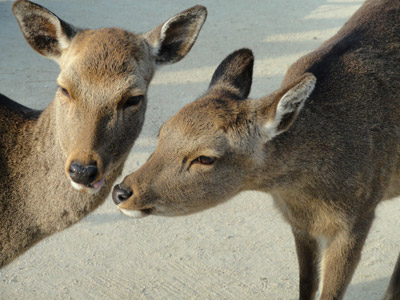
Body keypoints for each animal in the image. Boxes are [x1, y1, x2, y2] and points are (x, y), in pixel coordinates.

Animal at [111, 0, 400, 300]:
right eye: (162, 132)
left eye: (205, 158)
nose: (121, 191)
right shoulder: (299, 224)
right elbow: (306, 284)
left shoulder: (359, 217)